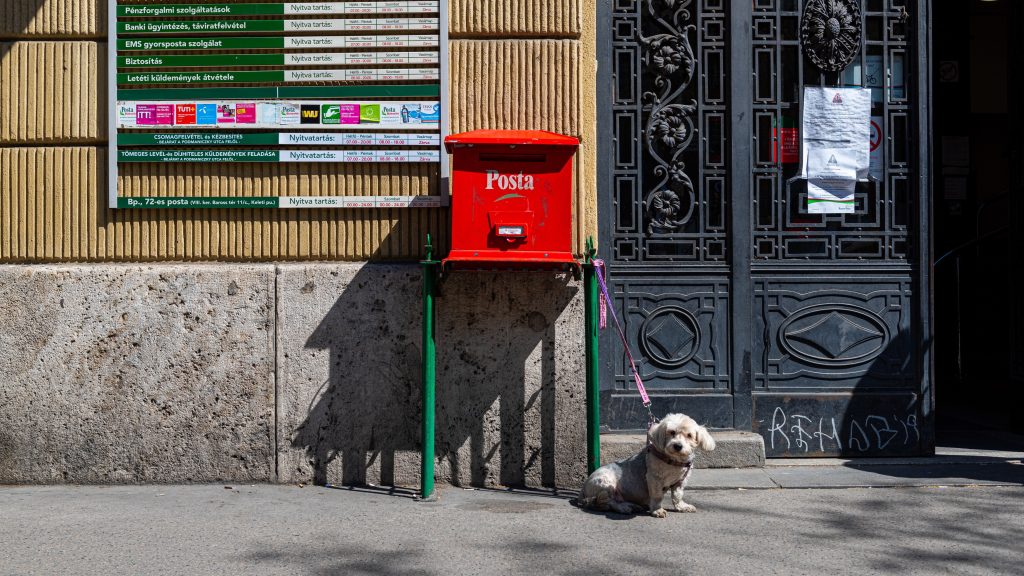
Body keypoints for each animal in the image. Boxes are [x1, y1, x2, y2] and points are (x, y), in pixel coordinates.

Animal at [581, 412, 716, 516]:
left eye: (689, 435)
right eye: (672, 432)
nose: (677, 446)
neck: (673, 460)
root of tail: (583, 490)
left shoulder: (680, 481)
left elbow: (677, 495)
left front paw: (681, 506)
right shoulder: (654, 479)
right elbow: (657, 496)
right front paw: (657, 510)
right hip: (605, 483)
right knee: (610, 502)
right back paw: (624, 507)